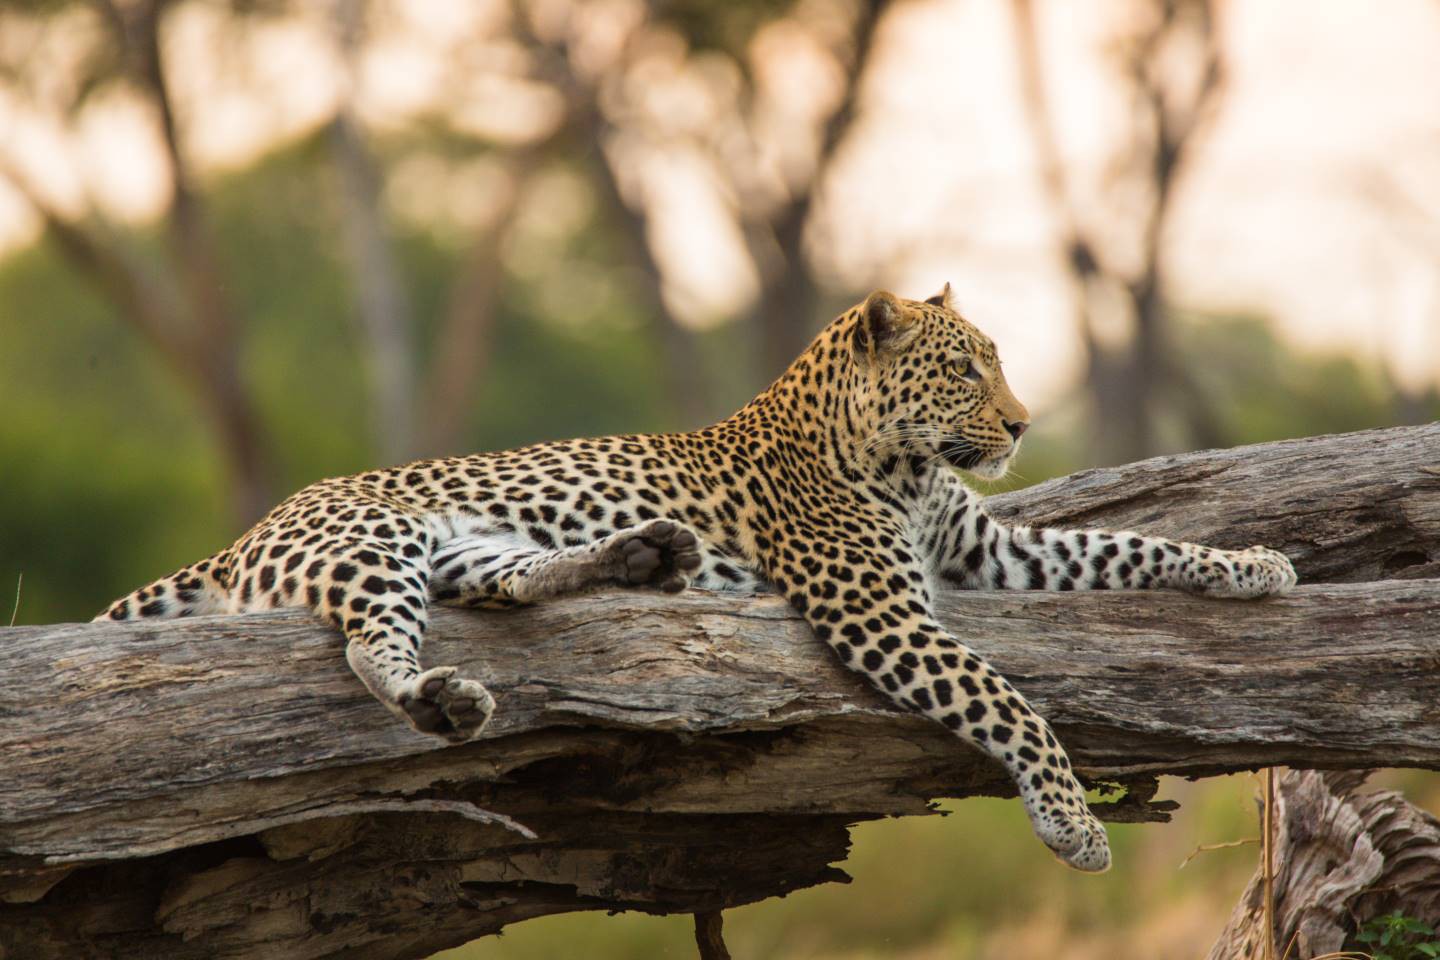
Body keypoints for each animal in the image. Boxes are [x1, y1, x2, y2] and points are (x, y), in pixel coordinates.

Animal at [98, 283, 1296, 869]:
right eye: (965, 367)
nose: (1021, 424)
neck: (903, 466)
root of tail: (256, 524)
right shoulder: (883, 614)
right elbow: (1011, 701)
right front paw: (1074, 825)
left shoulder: (990, 549)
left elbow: (1133, 546)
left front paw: (1252, 564)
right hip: (375, 543)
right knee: (366, 644)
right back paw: (444, 699)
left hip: (467, 546)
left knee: (507, 584)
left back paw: (640, 557)